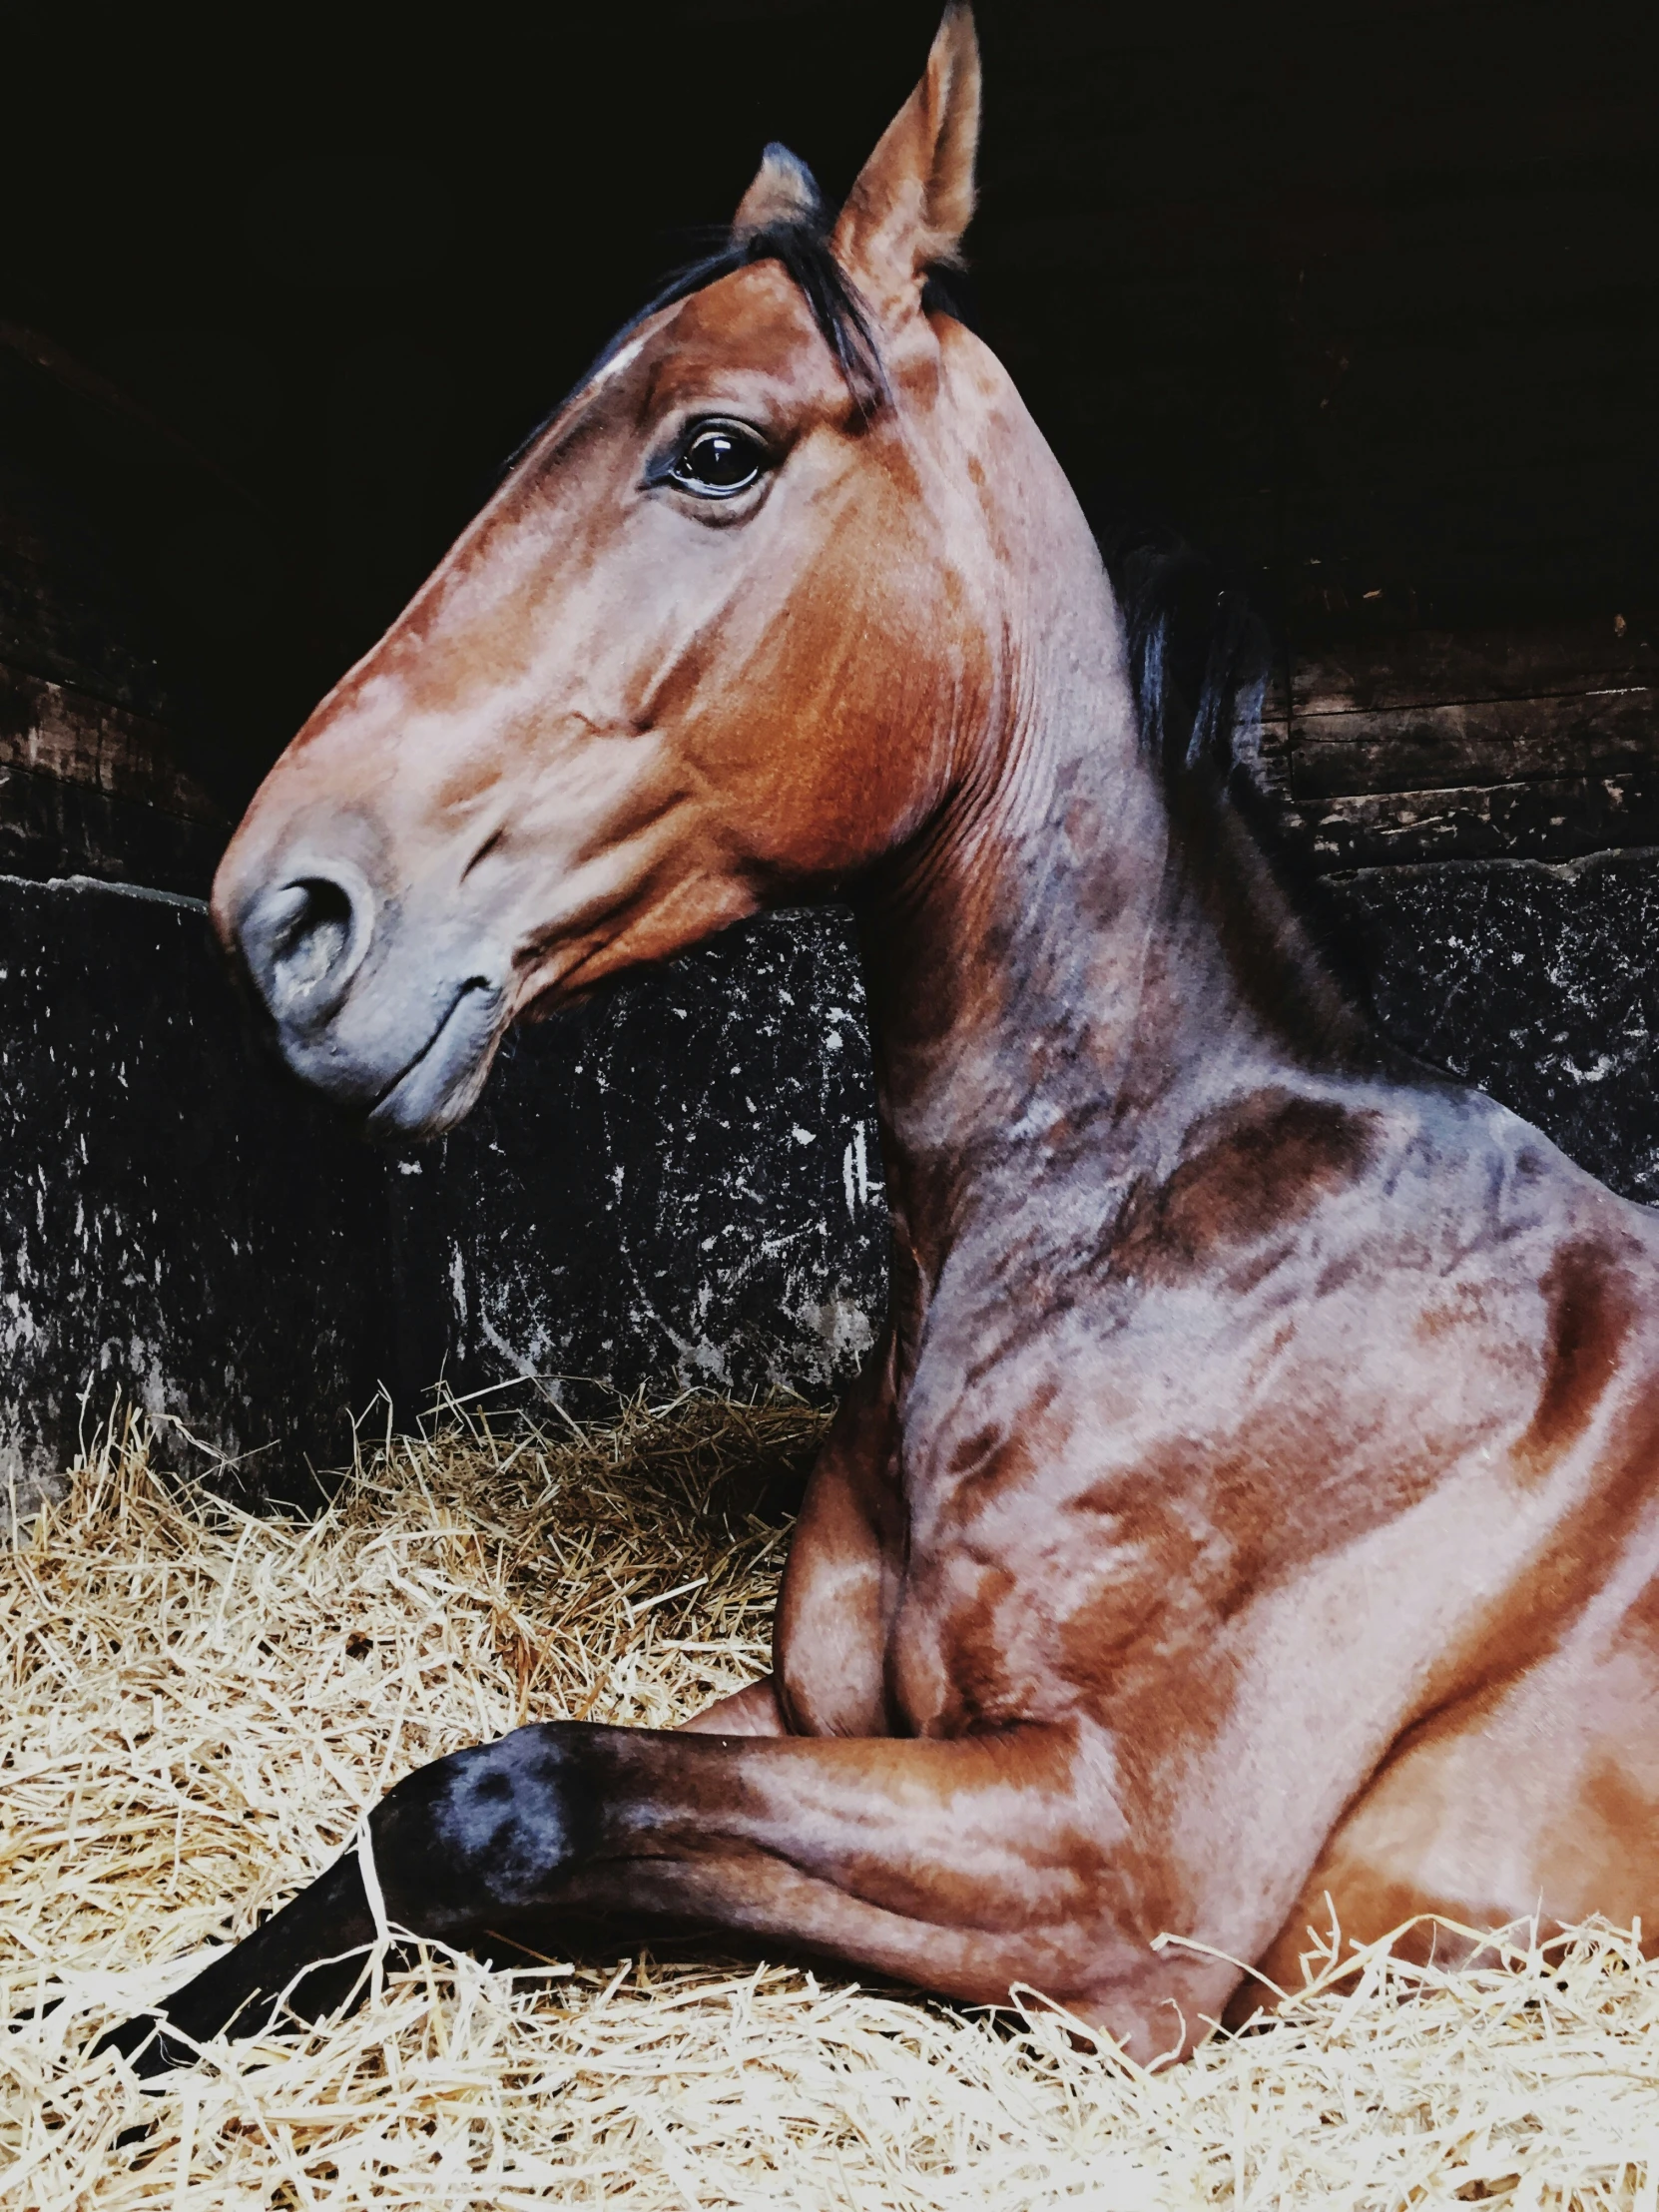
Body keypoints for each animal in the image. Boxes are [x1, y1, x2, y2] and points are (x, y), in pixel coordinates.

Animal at [97, 4, 1659, 2070]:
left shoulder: (1110, 1871)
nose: (280, 915)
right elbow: (409, 1826)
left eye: (716, 450)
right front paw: (142, 2035)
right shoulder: (815, 1719)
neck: (1156, 1241)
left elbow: (491, 1795)